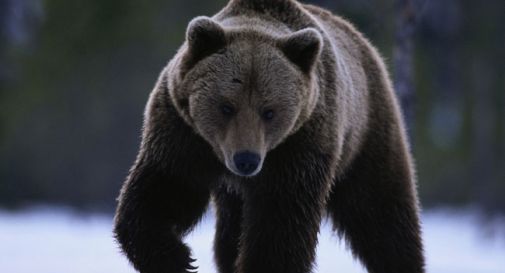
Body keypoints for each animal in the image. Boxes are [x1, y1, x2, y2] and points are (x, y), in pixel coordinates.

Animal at [113, 0, 422, 272]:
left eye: (269, 111)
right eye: (227, 106)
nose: (246, 160)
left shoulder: (299, 146)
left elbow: (280, 225)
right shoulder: (182, 133)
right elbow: (164, 189)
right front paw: (178, 258)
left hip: (367, 135)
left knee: (381, 216)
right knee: (229, 236)